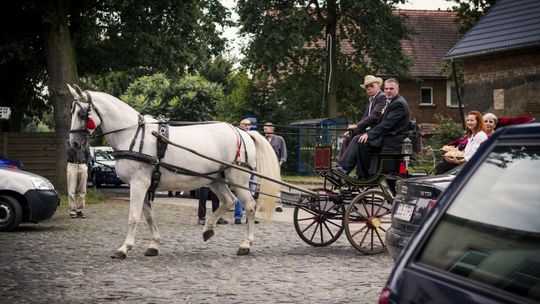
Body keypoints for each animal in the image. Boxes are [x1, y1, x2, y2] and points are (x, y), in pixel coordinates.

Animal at [66, 83, 282, 258]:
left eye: (82, 113)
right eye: (72, 112)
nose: (74, 144)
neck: (132, 134)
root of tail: (242, 132)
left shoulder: (139, 183)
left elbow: (134, 217)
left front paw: (124, 248)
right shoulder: (144, 185)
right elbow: (148, 215)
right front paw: (153, 245)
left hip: (237, 179)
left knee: (250, 206)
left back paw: (246, 244)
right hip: (215, 179)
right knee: (229, 200)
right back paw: (208, 228)